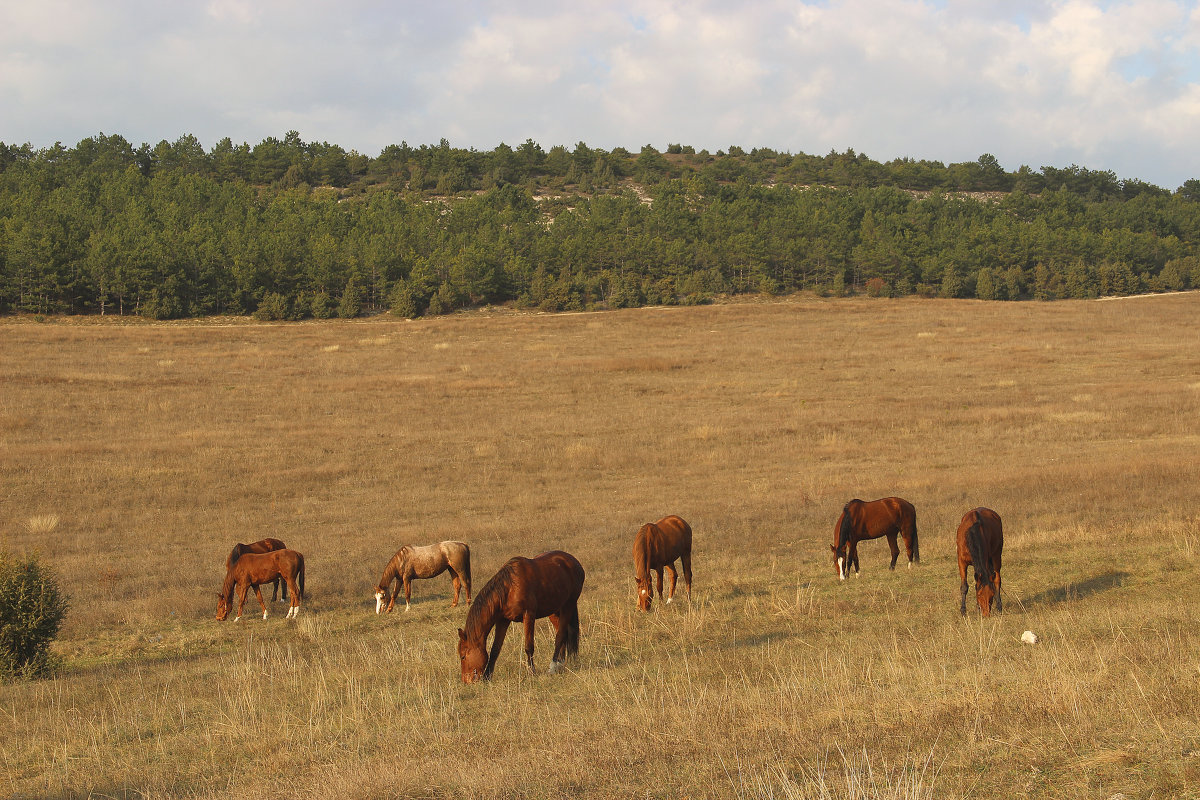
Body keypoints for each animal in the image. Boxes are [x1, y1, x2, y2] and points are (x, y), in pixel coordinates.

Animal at [456, 554, 583, 686]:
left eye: (463, 656)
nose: (466, 681)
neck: (509, 588)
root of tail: (573, 561)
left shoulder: (528, 615)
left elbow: (529, 646)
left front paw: (532, 672)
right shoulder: (503, 621)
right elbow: (495, 649)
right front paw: (487, 676)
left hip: (568, 605)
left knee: (560, 635)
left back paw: (553, 666)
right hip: (555, 610)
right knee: (563, 634)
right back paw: (560, 663)